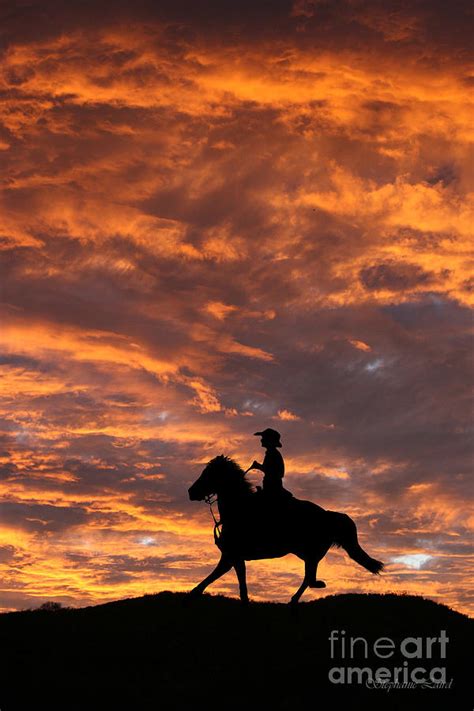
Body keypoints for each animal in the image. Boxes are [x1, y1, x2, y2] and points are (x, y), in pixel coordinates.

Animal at [187, 456, 384, 608]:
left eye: (209, 474)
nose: (191, 492)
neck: (239, 509)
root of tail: (328, 515)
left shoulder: (230, 556)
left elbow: (212, 577)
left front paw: (190, 596)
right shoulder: (235, 557)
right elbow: (239, 583)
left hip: (311, 552)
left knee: (309, 578)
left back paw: (299, 596)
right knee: (308, 577)